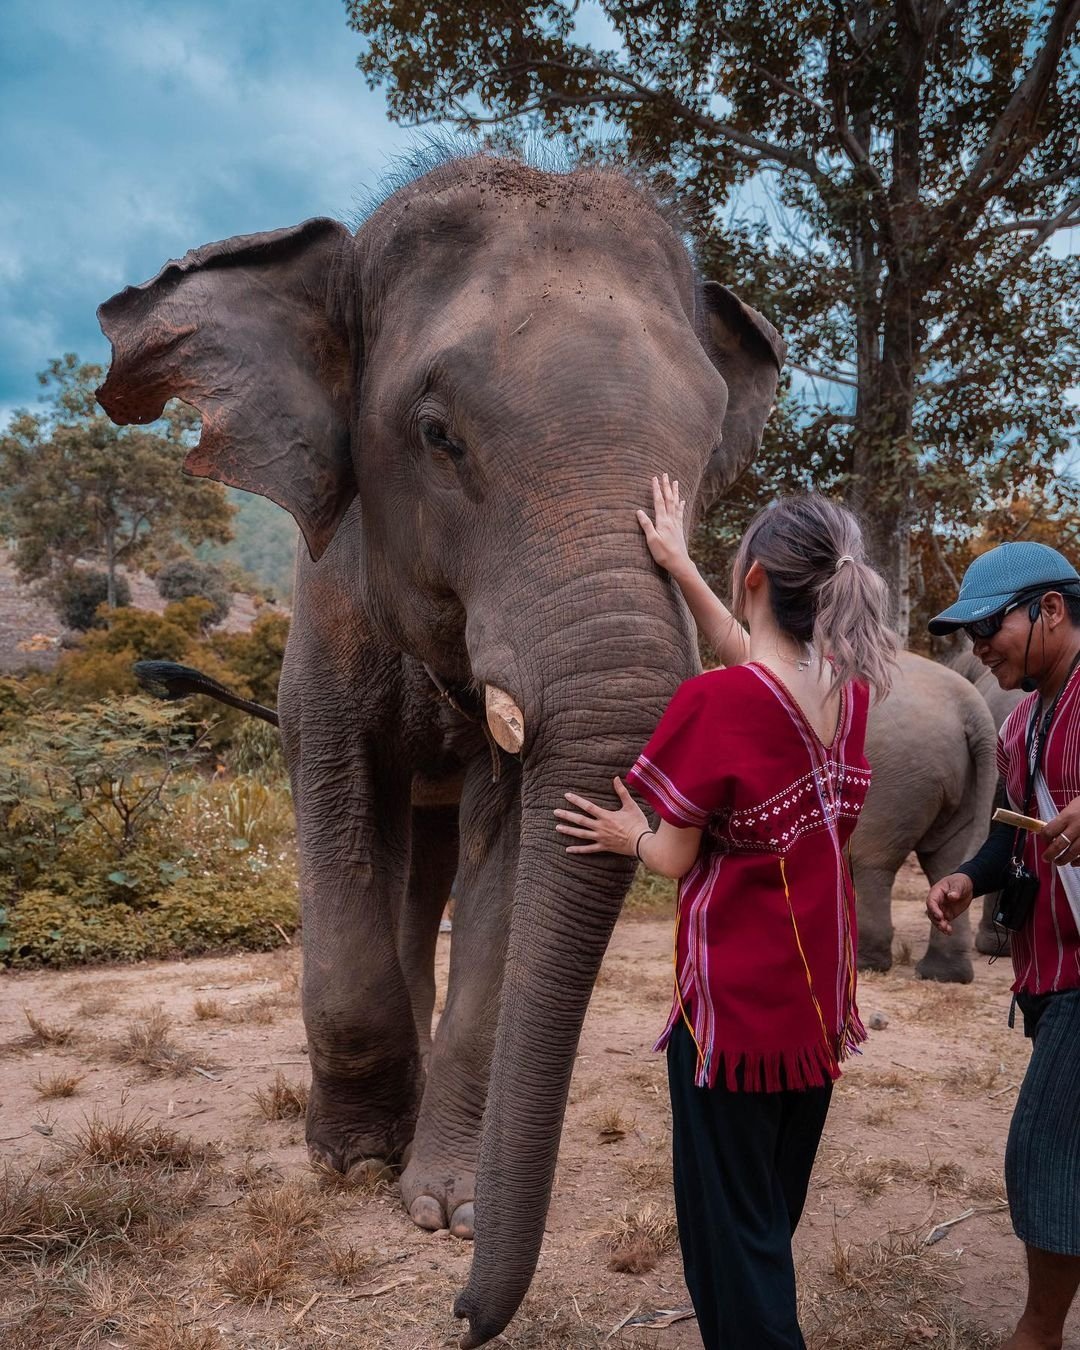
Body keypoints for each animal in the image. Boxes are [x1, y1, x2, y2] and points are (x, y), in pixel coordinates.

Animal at [95, 150, 783, 1350]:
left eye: (708, 455)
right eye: (437, 435)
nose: (462, 1314)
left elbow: (504, 858)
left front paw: (444, 1204)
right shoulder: (326, 610)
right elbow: (333, 797)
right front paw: (353, 1161)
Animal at [847, 645, 999, 982]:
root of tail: (972, 708)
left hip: (893, 778)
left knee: (870, 861)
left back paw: (865, 963)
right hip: (965, 781)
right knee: (949, 862)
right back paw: (945, 974)